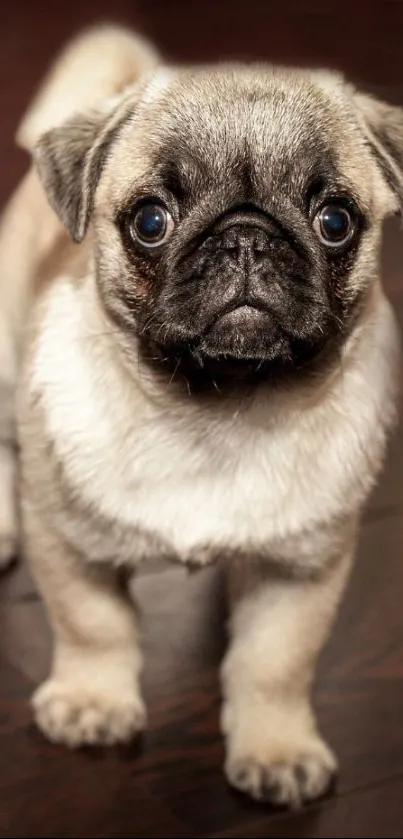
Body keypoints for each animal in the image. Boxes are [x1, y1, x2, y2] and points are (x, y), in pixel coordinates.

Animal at [1, 26, 402, 812]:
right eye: (150, 221)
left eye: (335, 221)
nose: (246, 237)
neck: (216, 409)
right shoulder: (65, 541)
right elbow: (92, 624)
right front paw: (93, 702)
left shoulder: (300, 570)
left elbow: (273, 663)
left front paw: (276, 749)